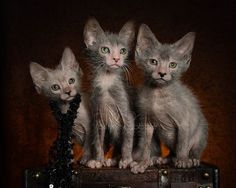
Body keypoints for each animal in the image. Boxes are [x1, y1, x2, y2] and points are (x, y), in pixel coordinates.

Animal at [83, 18, 136, 169]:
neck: (107, 80)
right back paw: (111, 159)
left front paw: (126, 160)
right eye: (105, 49)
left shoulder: (127, 114)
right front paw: (98, 160)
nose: (116, 59)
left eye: (123, 51)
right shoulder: (98, 116)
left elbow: (127, 141)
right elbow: (98, 142)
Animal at [132, 24, 207, 173]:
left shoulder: (184, 121)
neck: (158, 93)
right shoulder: (147, 123)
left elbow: (182, 143)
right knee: (172, 152)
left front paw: (183, 161)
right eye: (153, 62)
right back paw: (165, 159)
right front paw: (143, 163)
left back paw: (192, 159)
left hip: (201, 131)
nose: (162, 73)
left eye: (172, 65)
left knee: (194, 148)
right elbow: (146, 146)